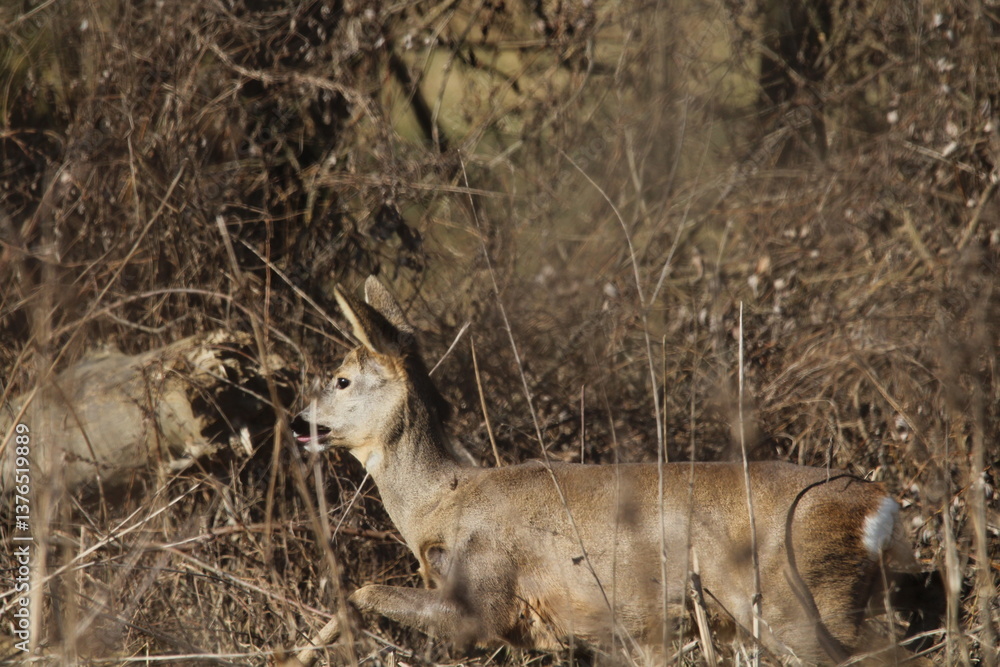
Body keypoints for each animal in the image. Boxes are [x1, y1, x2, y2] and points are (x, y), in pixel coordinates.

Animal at [293, 276, 923, 665]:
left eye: (341, 379)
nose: (298, 422)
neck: (442, 501)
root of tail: (881, 507)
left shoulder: (487, 597)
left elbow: (362, 590)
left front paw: (299, 652)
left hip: (803, 606)